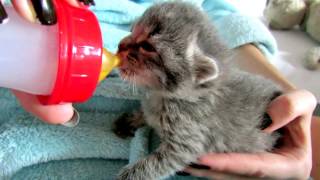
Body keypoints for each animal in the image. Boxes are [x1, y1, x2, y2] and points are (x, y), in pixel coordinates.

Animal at [114, 1, 282, 180]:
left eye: (147, 47)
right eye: (132, 30)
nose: (119, 45)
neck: (161, 94)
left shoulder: (184, 144)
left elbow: (151, 166)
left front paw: (127, 175)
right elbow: (146, 114)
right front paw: (132, 119)